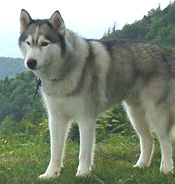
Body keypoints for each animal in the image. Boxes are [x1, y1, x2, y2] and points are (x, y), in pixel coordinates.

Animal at [18, 9, 174, 179]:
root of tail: (166, 53)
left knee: (165, 140)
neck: (63, 73)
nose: (30, 62)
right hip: (134, 114)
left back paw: (166, 169)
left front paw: (83, 173)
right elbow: (55, 151)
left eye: (44, 43)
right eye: (28, 43)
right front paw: (51, 174)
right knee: (148, 139)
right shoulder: (56, 118)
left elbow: (84, 151)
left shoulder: (86, 118)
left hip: (156, 112)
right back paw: (141, 165)